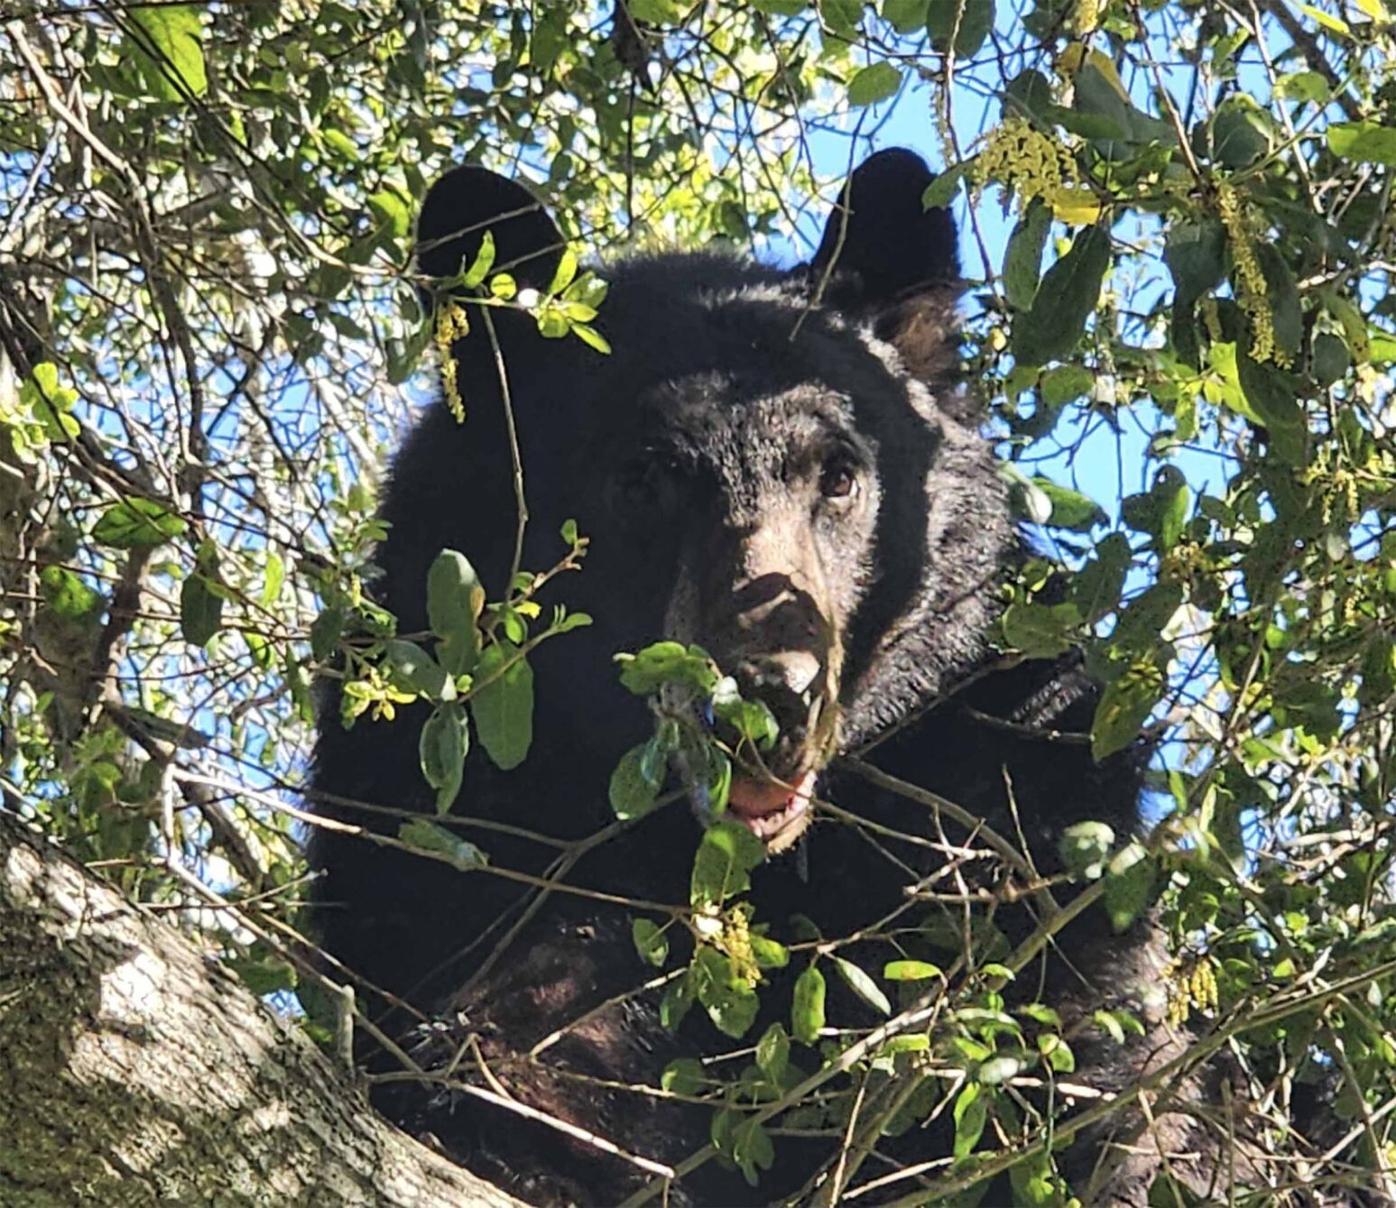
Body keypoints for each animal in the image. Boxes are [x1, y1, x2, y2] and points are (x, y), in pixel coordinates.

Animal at [308, 149, 1236, 1206]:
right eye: (643, 478)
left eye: (838, 474)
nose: (769, 698)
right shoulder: (435, 825)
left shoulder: (1026, 813)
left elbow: (1086, 1075)